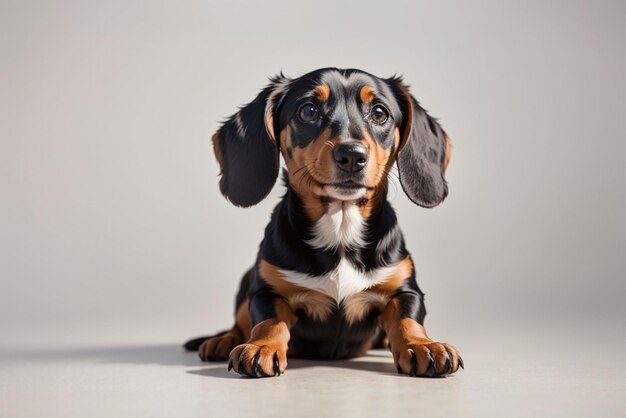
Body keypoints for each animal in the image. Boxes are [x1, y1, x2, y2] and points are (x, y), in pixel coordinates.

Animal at [183, 67, 460, 378]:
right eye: (309, 110)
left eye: (379, 113)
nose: (351, 155)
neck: (340, 229)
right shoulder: (265, 291)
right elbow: (268, 321)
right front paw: (261, 346)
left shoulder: (406, 289)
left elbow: (407, 319)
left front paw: (422, 345)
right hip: (247, 281)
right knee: (239, 322)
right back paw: (222, 340)